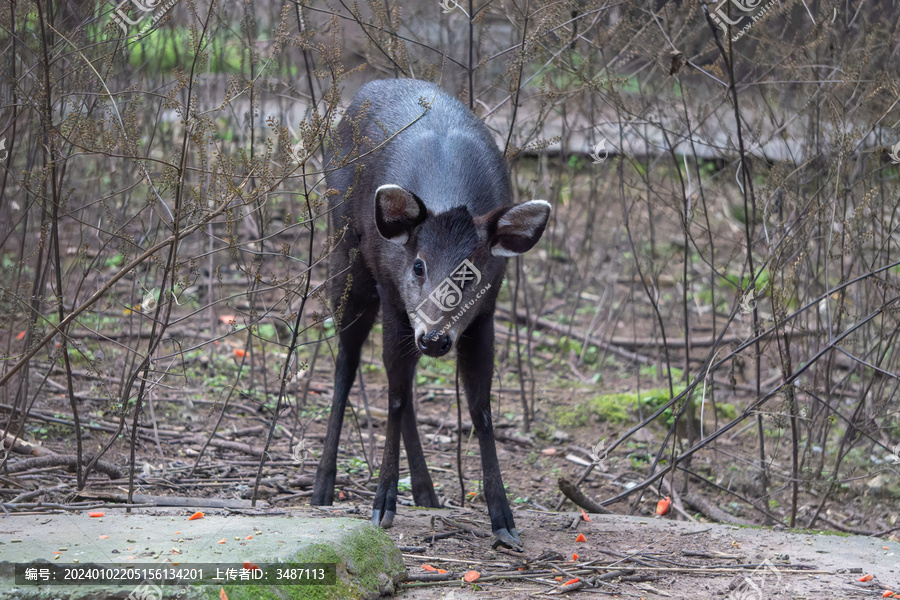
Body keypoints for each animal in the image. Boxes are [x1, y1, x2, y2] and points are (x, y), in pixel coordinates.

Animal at [310, 79, 548, 552]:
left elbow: (480, 409)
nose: (436, 338)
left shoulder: (485, 316)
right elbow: (395, 397)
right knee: (346, 363)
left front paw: (503, 519)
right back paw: (322, 486)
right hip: (346, 258)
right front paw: (382, 503)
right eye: (418, 265)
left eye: (472, 273)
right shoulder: (393, 298)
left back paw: (425, 492)